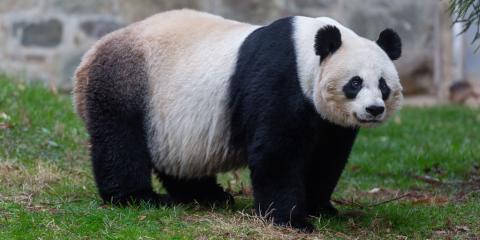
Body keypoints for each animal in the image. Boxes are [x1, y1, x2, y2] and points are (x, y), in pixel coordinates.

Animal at [74, 9, 402, 231]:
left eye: (383, 85)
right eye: (355, 83)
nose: (374, 109)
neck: (307, 54)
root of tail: (88, 57)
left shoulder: (328, 122)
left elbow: (327, 157)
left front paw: (321, 207)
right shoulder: (280, 80)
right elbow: (276, 152)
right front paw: (292, 219)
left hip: (168, 118)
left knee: (176, 159)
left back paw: (208, 196)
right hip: (125, 83)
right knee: (120, 143)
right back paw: (140, 198)